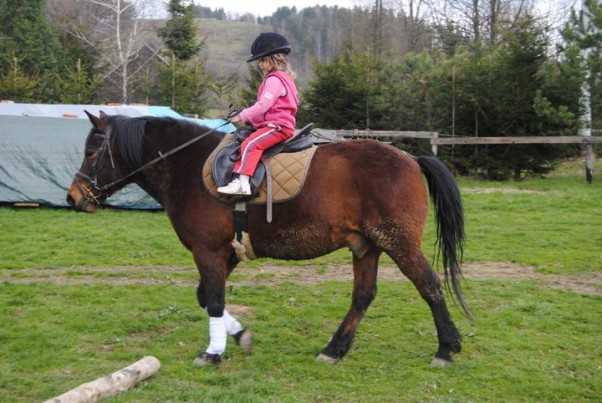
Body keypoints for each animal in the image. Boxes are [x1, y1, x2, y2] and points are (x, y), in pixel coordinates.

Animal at [67, 112, 468, 368]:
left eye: (91, 152)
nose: (73, 198)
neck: (187, 166)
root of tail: (412, 158)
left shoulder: (208, 250)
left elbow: (213, 300)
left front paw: (213, 353)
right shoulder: (225, 253)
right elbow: (206, 297)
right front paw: (239, 336)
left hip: (399, 243)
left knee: (429, 285)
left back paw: (446, 348)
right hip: (366, 246)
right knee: (363, 296)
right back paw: (335, 348)